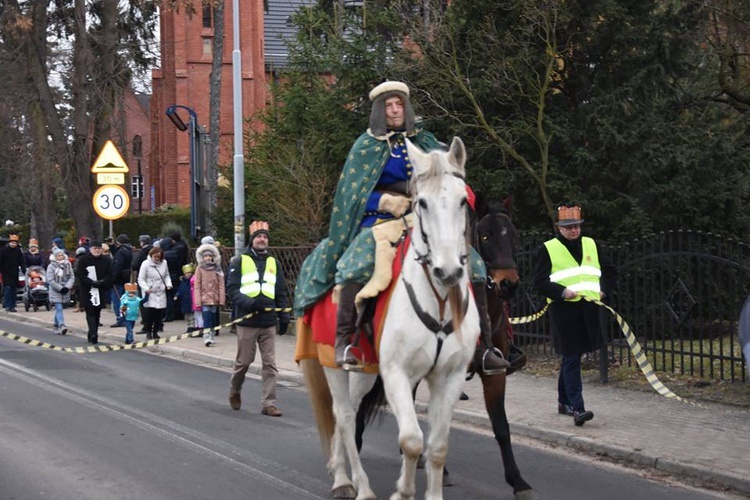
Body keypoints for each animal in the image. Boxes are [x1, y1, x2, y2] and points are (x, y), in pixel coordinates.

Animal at [298, 137, 478, 500]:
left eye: (463, 200)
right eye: (421, 203)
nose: (448, 271)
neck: (438, 300)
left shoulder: (449, 376)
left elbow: (437, 447)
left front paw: (432, 493)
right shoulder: (396, 372)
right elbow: (411, 440)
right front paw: (403, 492)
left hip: (366, 371)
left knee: (350, 413)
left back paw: (342, 474)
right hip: (332, 364)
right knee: (344, 415)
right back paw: (352, 483)